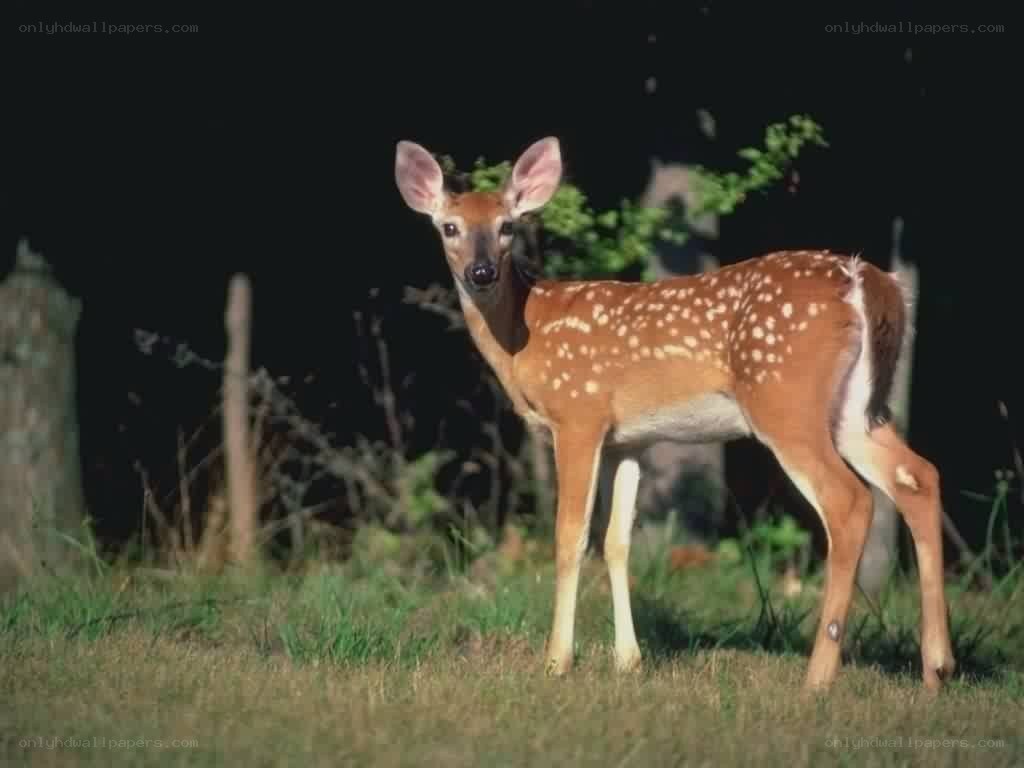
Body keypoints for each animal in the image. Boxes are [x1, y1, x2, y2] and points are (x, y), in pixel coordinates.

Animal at [394, 135, 956, 693]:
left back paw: (818, 675)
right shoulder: (628, 439)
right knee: (918, 475)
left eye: (507, 226)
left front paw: (556, 661)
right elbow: (617, 542)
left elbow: (569, 536)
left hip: (784, 399)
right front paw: (629, 660)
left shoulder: (578, 414)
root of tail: (868, 281)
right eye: (450, 227)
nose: (481, 273)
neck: (525, 334)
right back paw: (937, 667)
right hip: (858, 408)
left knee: (850, 500)